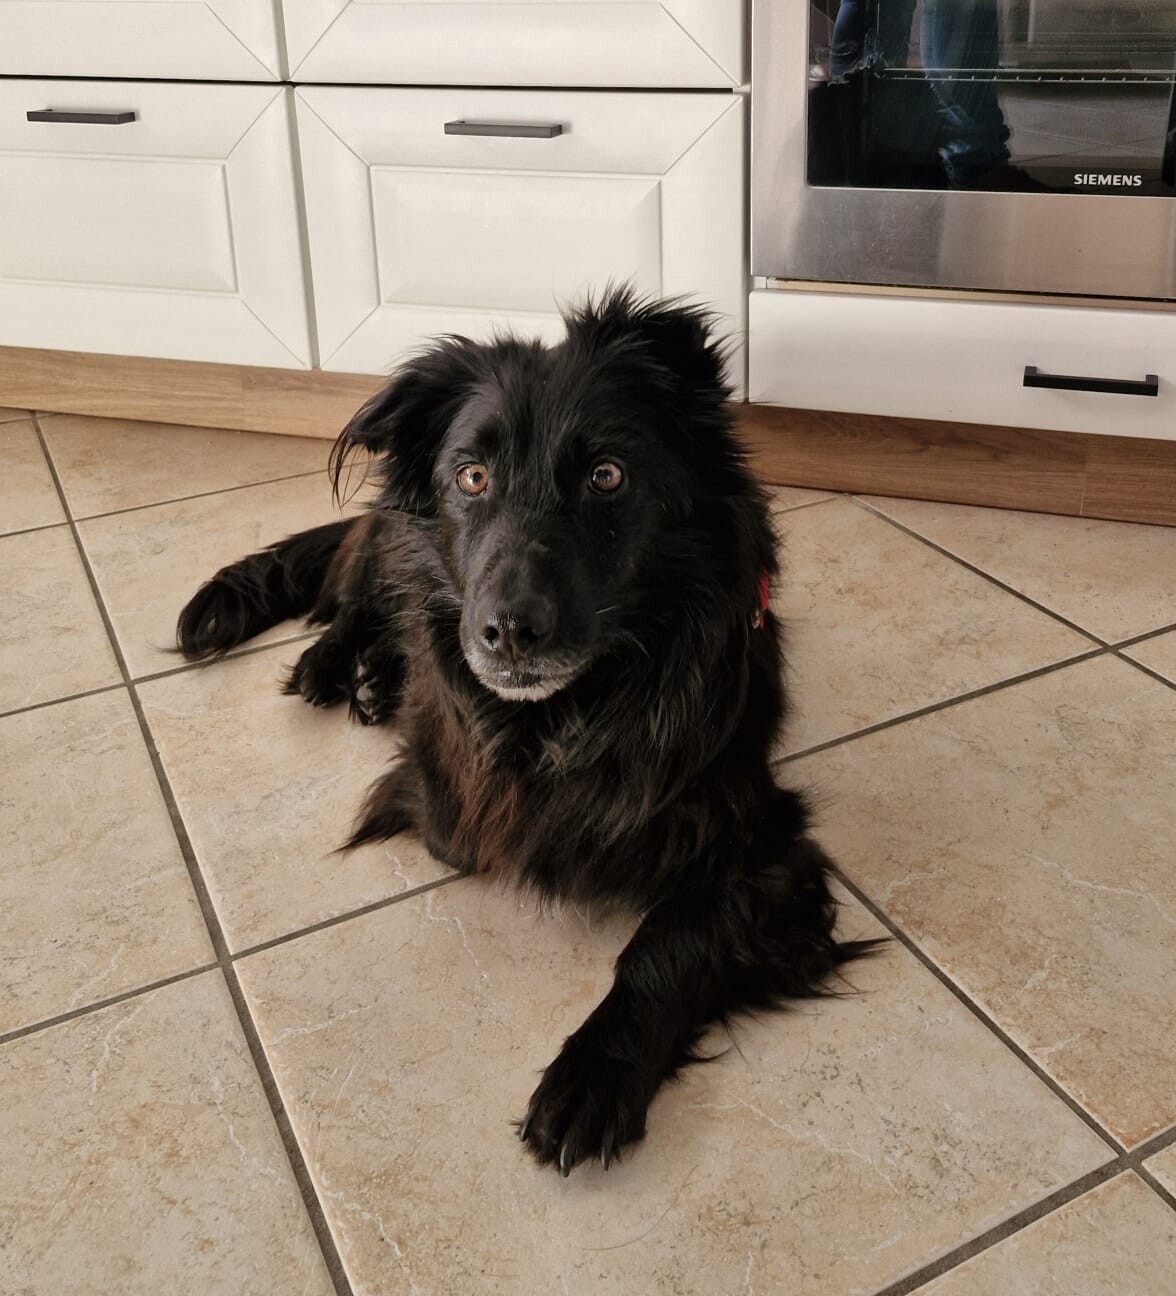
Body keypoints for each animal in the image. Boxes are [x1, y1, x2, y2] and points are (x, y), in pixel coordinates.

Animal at [176, 289, 878, 1175]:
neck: (577, 705)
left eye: (607, 475)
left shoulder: (768, 845)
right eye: (472, 477)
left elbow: (668, 936)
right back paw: (339, 667)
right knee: (359, 597)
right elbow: (483, 817)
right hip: (390, 544)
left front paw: (596, 1072)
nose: (507, 632)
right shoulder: (455, 795)